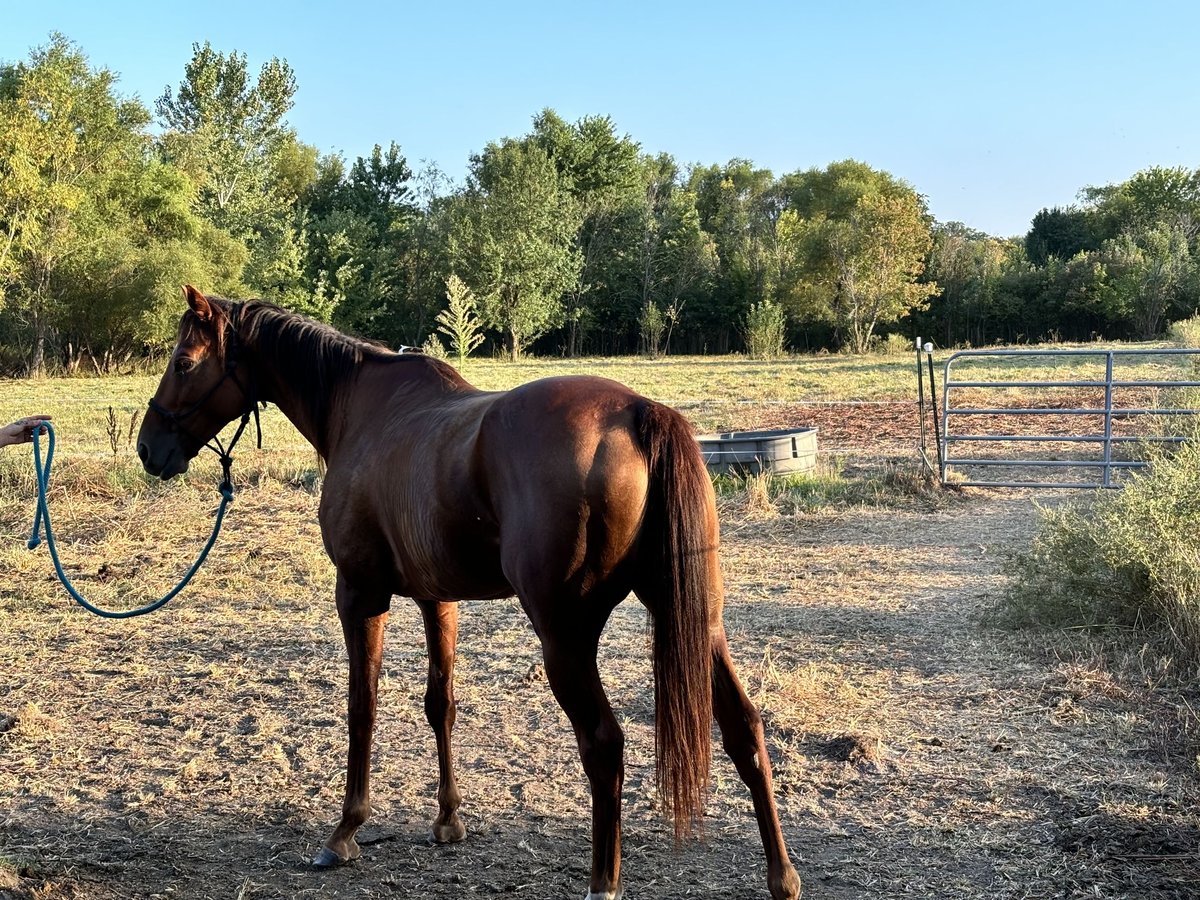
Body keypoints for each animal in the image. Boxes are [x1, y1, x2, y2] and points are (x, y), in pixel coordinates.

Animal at [136, 285, 801, 897]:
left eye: (185, 363)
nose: (149, 447)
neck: (362, 409)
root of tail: (638, 411)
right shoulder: (439, 599)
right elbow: (441, 704)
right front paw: (449, 820)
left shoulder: (360, 594)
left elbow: (362, 707)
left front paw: (346, 831)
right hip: (695, 621)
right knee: (745, 730)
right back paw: (782, 876)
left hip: (566, 640)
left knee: (604, 746)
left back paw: (603, 882)